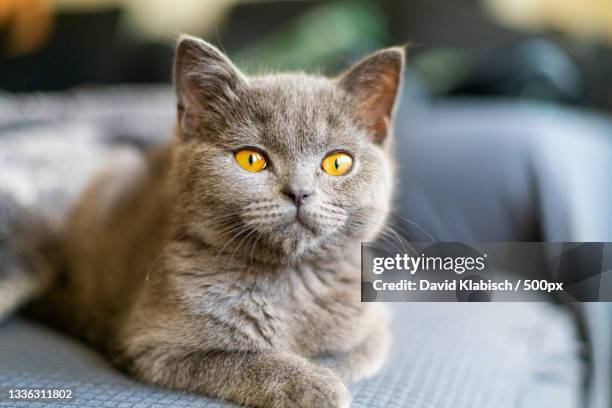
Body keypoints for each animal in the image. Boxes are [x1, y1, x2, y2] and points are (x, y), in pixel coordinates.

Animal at [25, 35, 406, 408]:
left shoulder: (374, 325)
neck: (288, 281)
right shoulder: (154, 345)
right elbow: (242, 360)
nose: (299, 192)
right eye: (251, 159)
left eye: (338, 163)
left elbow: (348, 355)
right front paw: (315, 383)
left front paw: (325, 370)